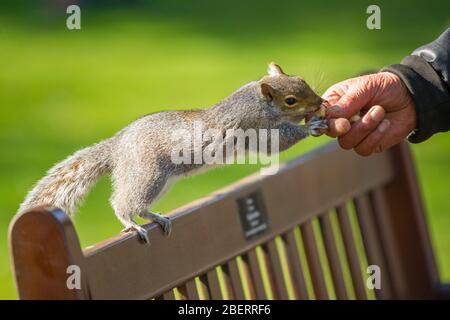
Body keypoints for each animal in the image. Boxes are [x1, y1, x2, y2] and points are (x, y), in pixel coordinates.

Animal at [18, 62, 326, 242]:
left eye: (302, 80)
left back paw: (155, 217)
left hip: (161, 182)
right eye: (290, 100)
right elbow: (278, 141)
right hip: (149, 174)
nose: (320, 102)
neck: (257, 102)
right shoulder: (255, 127)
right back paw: (131, 222)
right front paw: (311, 126)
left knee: (139, 205)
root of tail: (118, 146)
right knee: (123, 202)